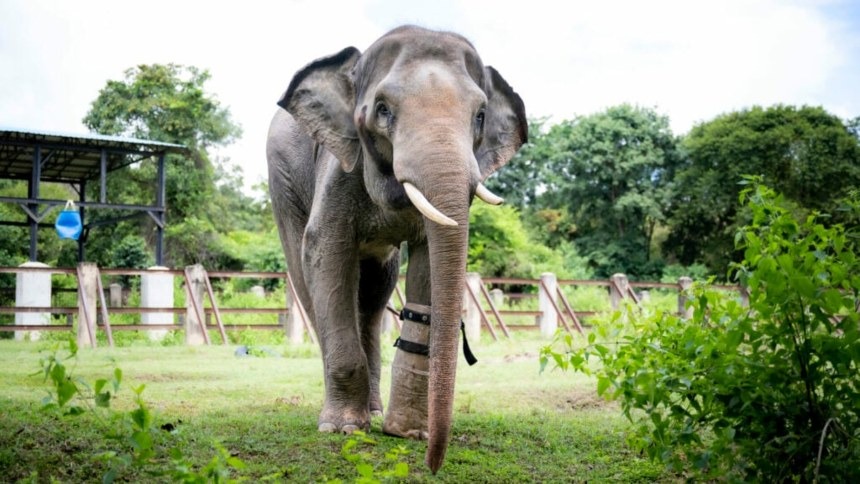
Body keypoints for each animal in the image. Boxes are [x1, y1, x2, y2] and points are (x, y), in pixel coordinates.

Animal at [266, 24, 528, 470]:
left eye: (480, 115)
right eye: (383, 110)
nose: (432, 463)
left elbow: (427, 261)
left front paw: (407, 432)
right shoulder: (340, 166)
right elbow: (325, 251)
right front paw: (343, 430)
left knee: (373, 296)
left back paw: (372, 411)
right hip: (280, 178)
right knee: (308, 281)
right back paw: (345, 417)